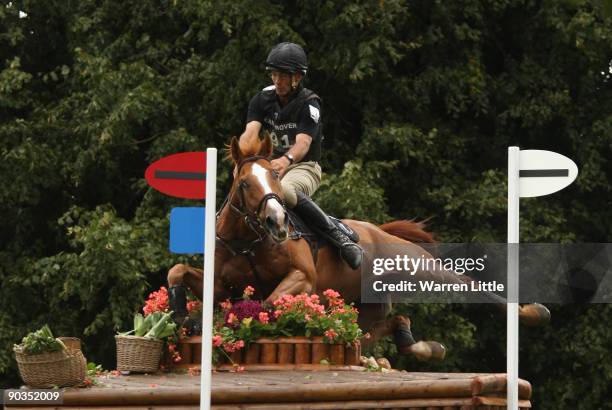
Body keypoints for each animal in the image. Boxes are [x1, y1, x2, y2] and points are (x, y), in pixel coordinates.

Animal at [166, 135, 548, 358]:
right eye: (245, 184)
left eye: (274, 176)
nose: (277, 223)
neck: (249, 240)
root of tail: (378, 230)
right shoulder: (220, 284)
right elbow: (178, 272)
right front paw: (183, 314)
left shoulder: (303, 278)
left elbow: (268, 302)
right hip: (367, 305)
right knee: (387, 324)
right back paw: (422, 345)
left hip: (416, 265)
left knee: (466, 284)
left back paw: (530, 313)